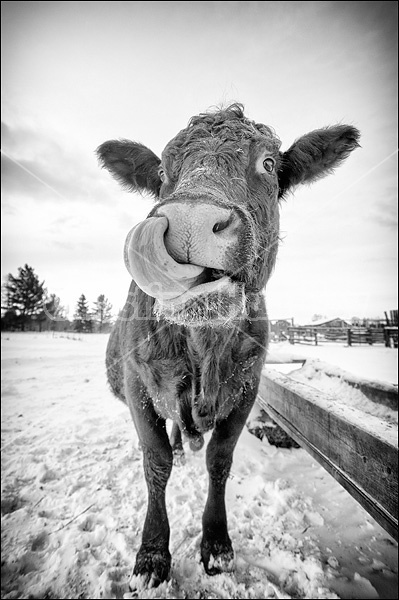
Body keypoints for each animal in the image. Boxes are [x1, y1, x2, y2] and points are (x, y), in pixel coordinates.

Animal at [96, 102, 360, 584]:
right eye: (161, 170)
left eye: (268, 163)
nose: (190, 222)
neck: (203, 345)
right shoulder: (137, 383)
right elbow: (155, 461)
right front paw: (152, 553)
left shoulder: (247, 387)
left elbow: (220, 460)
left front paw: (217, 545)